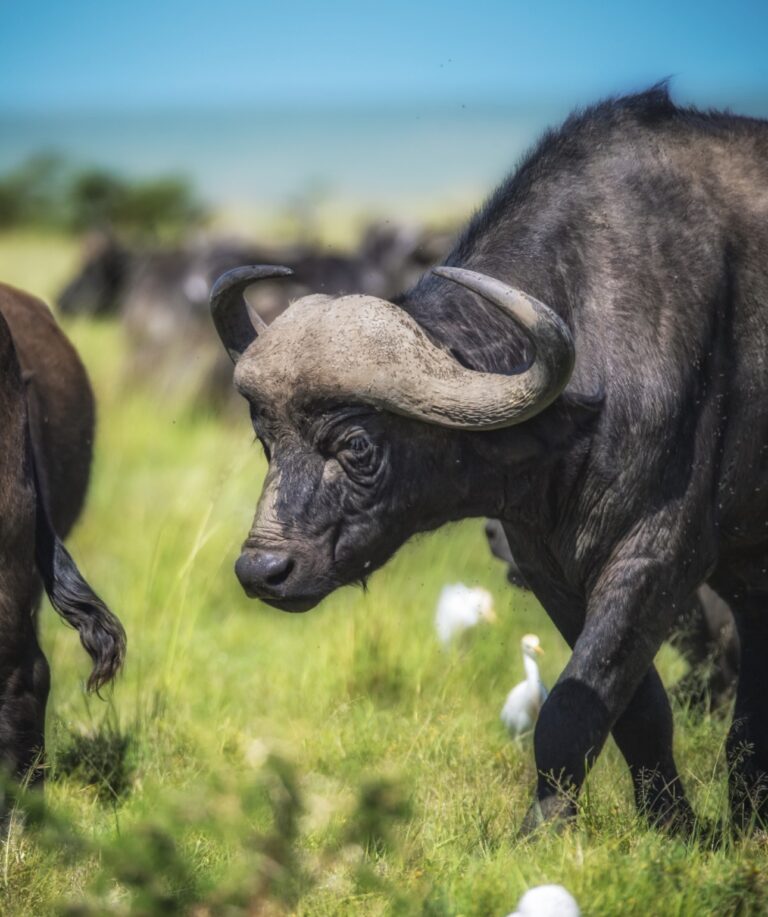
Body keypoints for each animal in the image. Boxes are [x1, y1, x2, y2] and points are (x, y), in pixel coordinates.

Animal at [210, 86, 768, 833]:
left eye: (356, 445)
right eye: (265, 441)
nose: (262, 570)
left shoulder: (658, 554)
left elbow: (570, 708)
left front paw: (543, 832)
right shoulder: (549, 563)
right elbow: (634, 708)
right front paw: (671, 823)